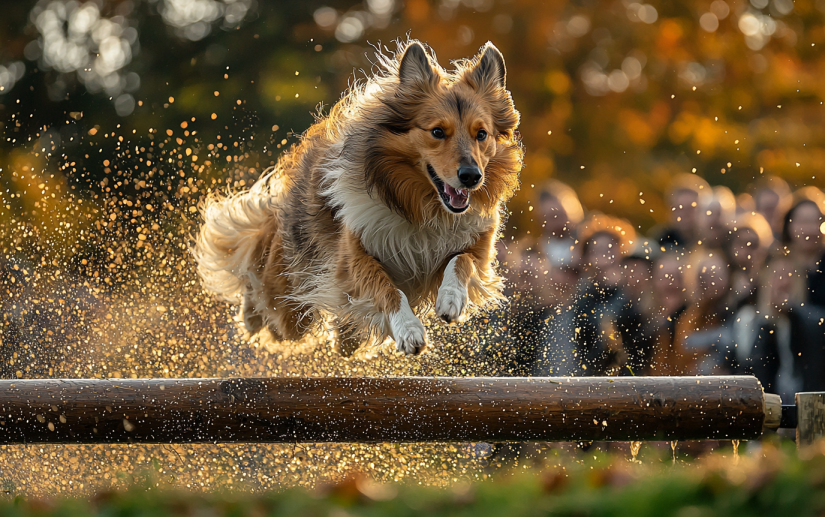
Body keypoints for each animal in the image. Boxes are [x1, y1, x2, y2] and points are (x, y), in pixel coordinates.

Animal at [193, 40, 520, 354]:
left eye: (481, 134)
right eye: (438, 131)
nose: (472, 176)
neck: (421, 210)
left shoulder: (477, 242)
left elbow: (462, 261)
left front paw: (451, 299)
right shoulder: (354, 255)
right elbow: (387, 290)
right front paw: (408, 330)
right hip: (291, 300)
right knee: (265, 301)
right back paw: (250, 315)